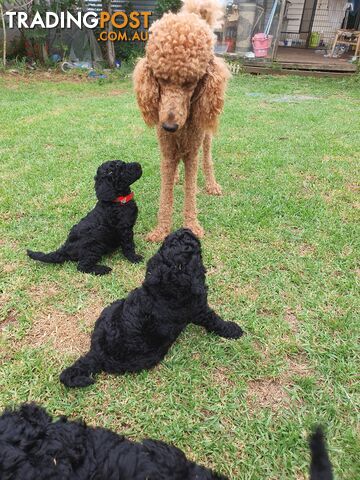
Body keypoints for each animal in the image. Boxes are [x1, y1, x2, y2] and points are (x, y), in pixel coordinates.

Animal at [60, 227, 243, 388]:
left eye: (171, 241)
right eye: (187, 243)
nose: (184, 230)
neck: (168, 284)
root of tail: (96, 354)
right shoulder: (199, 310)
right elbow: (215, 321)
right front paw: (233, 330)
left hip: (110, 308)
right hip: (148, 357)